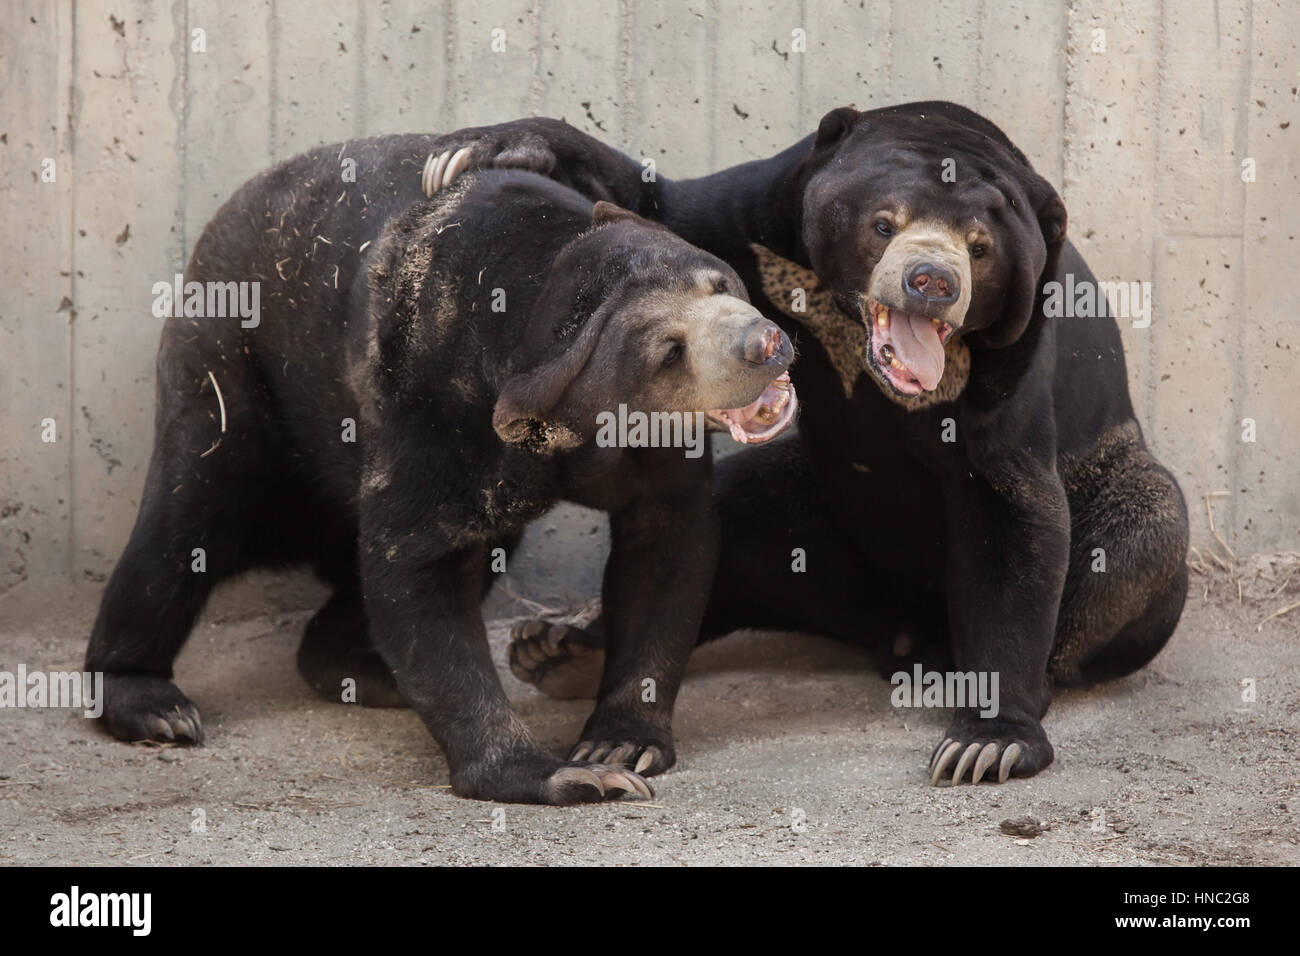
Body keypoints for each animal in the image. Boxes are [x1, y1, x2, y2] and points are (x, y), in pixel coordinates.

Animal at [83, 140, 790, 801]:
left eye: (717, 285)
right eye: (668, 352)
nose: (765, 343)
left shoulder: (647, 447)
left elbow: (666, 543)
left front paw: (619, 745)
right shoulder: (429, 404)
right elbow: (416, 563)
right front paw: (564, 775)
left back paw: (362, 670)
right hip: (229, 363)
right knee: (184, 522)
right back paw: (154, 703)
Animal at [426, 104, 1190, 785]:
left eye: (981, 245)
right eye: (883, 223)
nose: (932, 282)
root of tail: (899, 624)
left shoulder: (1016, 361)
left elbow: (1013, 510)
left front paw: (988, 744)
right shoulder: (762, 217)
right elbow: (663, 206)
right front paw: (469, 153)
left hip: (1113, 481)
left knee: (1141, 530)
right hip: (812, 505)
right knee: (737, 517)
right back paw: (558, 652)